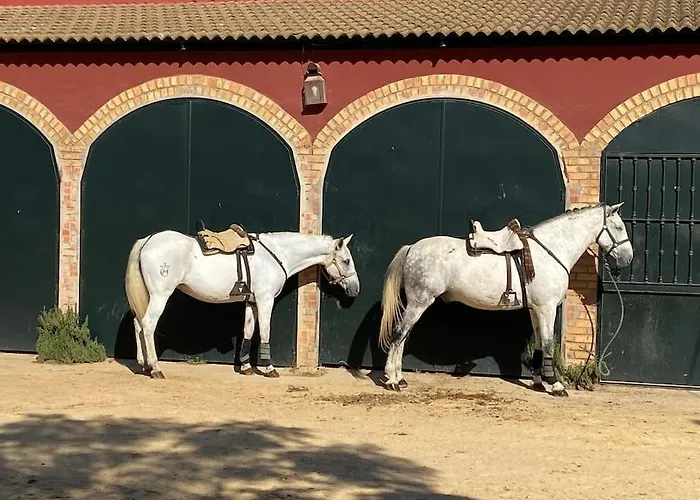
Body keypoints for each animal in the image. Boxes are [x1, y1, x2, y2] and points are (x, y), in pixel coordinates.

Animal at [124, 230, 360, 379]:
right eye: (346, 260)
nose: (356, 289)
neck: (276, 255)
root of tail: (148, 240)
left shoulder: (251, 302)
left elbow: (248, 331)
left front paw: (246, 366)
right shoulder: (265, 300)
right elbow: (264, 332)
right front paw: (269, 369)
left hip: (149, 296)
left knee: (138, 324)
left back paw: (144, 365)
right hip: (160, 295)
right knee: (148, 325)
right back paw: (155, 368)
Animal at [378, 203, 633, 397]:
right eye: (619, 227)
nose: (628, 258)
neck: (549, 251)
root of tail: (412, 248)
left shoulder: (535, 309)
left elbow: (539, 343)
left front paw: (538, 382)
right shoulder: (547, 308)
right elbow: (548, 343)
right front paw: (556, 385)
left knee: (403, 336)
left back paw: (400, 378)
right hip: (419, 302)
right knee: (399, 334)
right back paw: (392, 380)